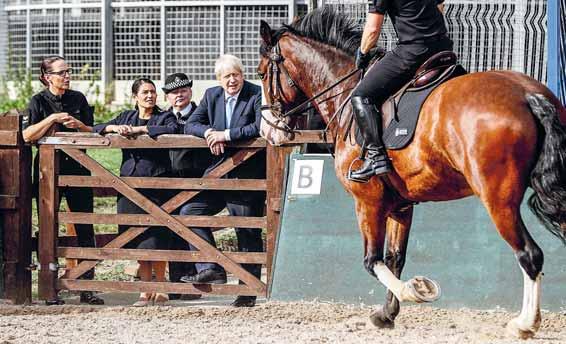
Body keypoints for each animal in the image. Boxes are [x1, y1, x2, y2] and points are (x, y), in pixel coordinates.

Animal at [260, 8, 566, 338]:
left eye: (262, 73)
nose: (268, 132)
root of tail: (528, 95)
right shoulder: (400, 205)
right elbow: (394, 258)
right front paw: (386, 314)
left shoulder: (367, 200)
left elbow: (372, 261)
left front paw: (416, 290)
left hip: (498, 200)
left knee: (529, 254)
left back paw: (524, 324)